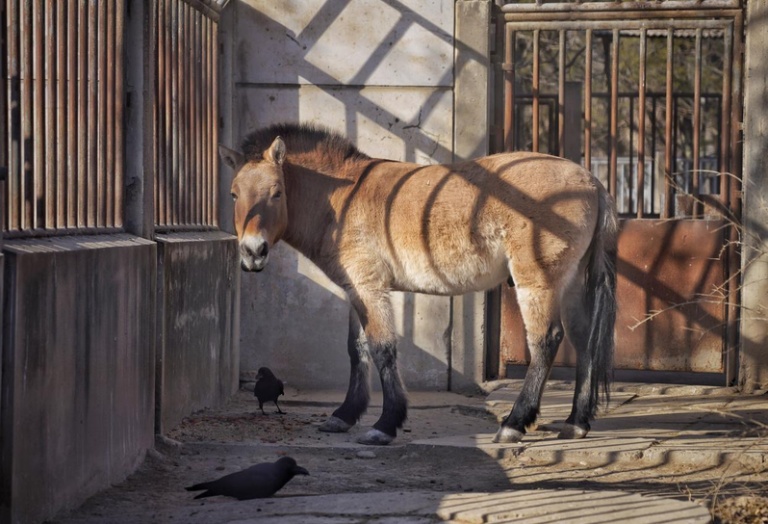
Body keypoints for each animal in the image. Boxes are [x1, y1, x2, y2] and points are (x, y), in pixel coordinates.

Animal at [220, 123, 618, 446]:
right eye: (234, 194)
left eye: (277, 192)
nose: (252, 252)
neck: (342, 198)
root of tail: (593, 182)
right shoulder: (356, 289)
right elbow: (356, 350)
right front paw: (344, 416)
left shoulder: (369, 287)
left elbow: (382, 350)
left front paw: (385, 424)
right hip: (570, 284)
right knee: (584, 341)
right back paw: (576, 423)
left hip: (537, 281)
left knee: (546, 340)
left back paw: (514, 424)